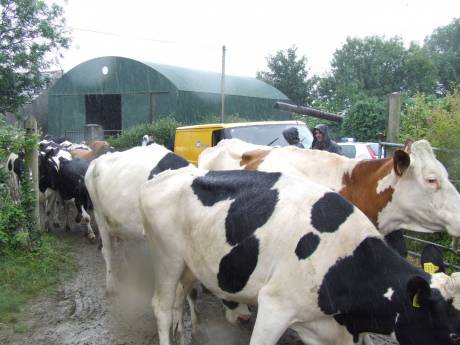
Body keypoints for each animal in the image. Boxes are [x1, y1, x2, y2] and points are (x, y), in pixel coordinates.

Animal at [140, 165, 460, 342]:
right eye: (454, 333)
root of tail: (165, 176)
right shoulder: (274, 307)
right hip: (167, 257)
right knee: (162, 307)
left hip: (189, 265)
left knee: (179, 301)